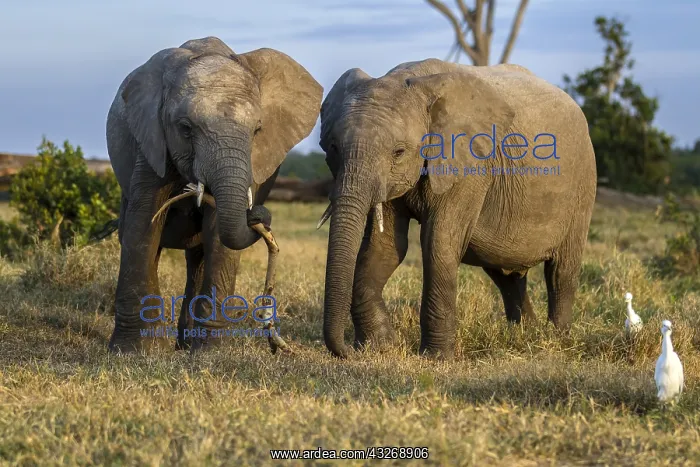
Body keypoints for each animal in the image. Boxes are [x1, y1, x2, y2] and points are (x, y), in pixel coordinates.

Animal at [106, 36, 322, 353]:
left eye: (257, 130)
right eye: (185, 129)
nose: (258, 216)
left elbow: (217, 234)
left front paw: (208, 352)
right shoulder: (152, 142)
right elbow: (143, 223)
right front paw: (131, 351)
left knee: (198, 255)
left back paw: (186, 344)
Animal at [318, 59, 596, 359]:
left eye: (398, 152)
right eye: (332, 148)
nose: (347, 351)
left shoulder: (469, 166)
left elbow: (438, 243)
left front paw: (436, 358)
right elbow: (384, 246)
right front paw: (381, 346)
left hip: (583, 183)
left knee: (561, 270)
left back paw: (557, 338)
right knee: (506, 274)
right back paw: (526, 334)